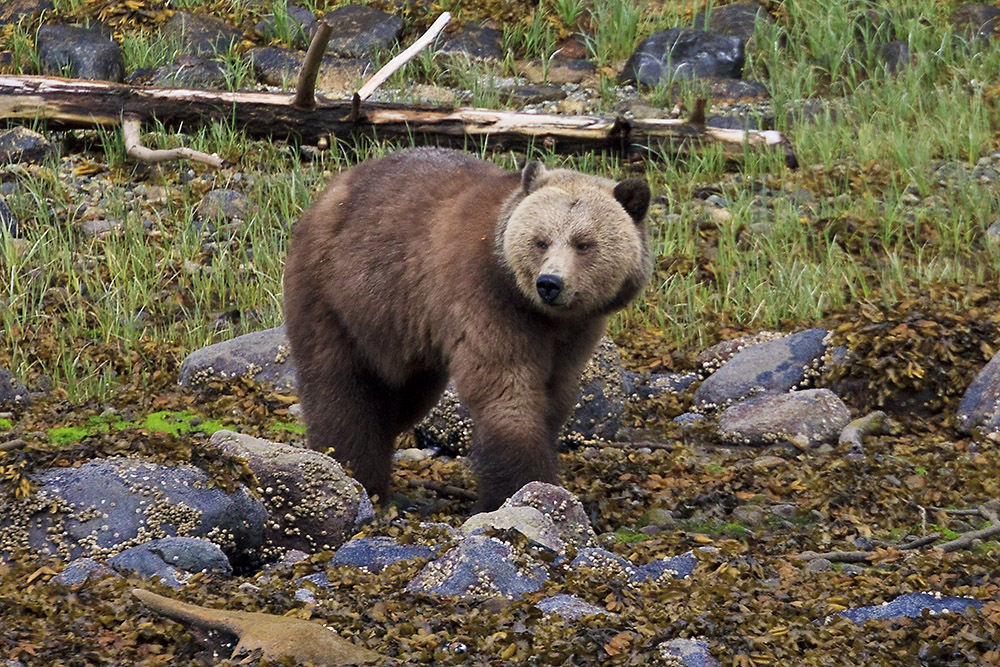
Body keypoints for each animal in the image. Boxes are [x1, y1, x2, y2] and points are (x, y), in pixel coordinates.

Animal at [286, 147, 652, 512]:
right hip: (337, 294)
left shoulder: (575, 332)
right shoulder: (486, 300)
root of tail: (329, 193)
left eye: (584, 243)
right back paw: (355, 471)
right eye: (541, 241)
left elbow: (556, 393)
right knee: (342, 387)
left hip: (403, 330)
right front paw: (520, 487)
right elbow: (506, 389)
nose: (550, 283)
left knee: (405, 397)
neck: (538, 312)